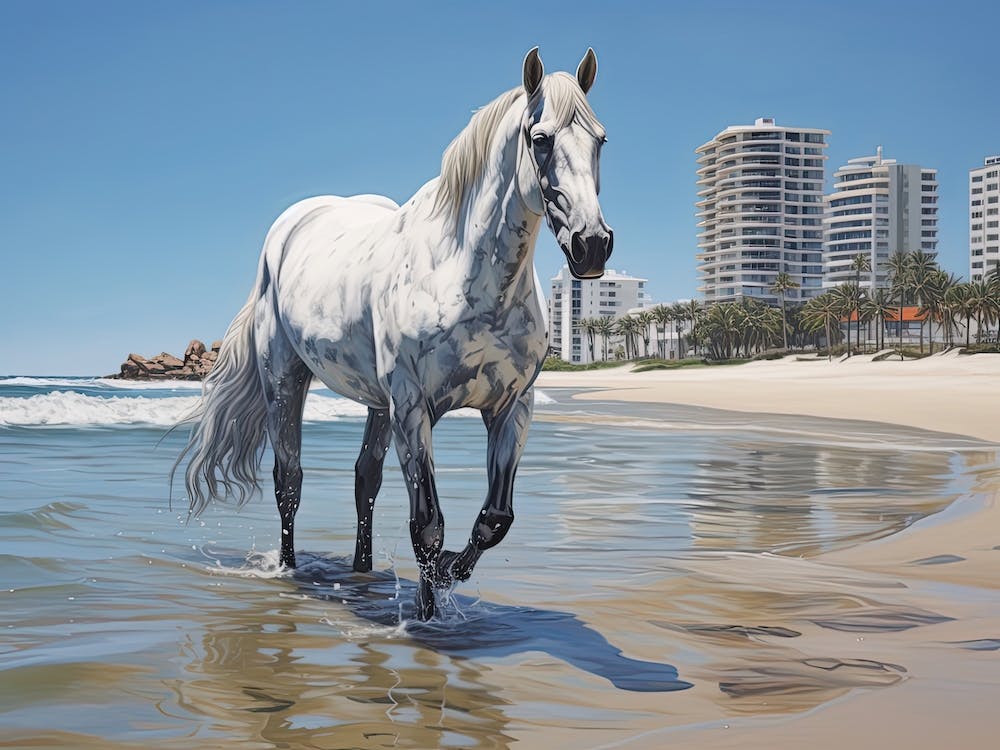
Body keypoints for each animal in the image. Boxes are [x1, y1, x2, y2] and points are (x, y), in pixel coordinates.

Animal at [177, 47, 613, 620]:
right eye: (539, 139)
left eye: (600, 140)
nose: (592, 245)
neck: (462, 276)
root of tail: (288, 230)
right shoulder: (413, 407)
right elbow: (427, 525)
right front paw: (428, 614)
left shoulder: (511, 408)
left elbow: (494, 519)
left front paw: (448, 575)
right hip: (286, 382)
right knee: (288, 481)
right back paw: (289, 571)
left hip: (376, 403)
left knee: (365, 479)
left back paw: (361, 571)